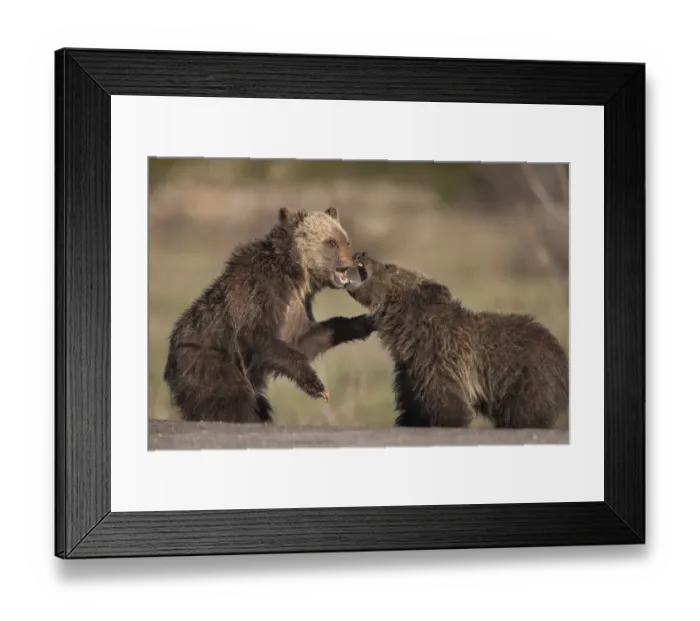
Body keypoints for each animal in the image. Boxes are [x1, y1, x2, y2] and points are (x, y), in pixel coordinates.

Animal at [163, 207, 377, 424]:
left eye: (346, 240)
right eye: (331, 242)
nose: (352, 260)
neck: (295, 273)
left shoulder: (297, 306)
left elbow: (303, 340)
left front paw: (363, 322)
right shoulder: (259, 292)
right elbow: (259, 337)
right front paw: (319, 387)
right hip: (210, 363)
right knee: (234, 403)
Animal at [344, 251, 569, 429]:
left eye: (390, 266)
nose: (361, 254)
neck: (408, 332)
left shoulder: (442, 358)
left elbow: (449, 404)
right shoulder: (410, 369)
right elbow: (411, 407)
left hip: (526, 378)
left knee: (526, 414)